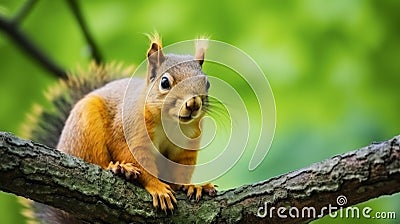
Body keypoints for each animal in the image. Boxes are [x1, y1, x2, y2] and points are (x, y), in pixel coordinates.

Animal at [21, 33, 216, 224]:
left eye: (207, 84)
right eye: (165, 82)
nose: (193, 104)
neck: (171, 123)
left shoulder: (186, 148)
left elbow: (180, 172)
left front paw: (192, 186)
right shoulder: (129, 133)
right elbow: (136, 159)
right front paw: (158, 187)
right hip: (85, 131)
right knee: (96, 162)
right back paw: (120, 169)